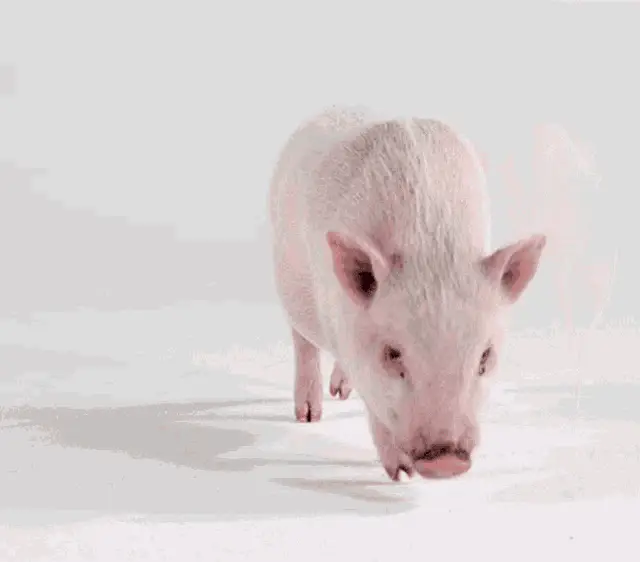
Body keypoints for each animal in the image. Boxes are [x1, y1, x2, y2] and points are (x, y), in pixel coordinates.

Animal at [268, 106, 546, 481]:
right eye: (393, 353)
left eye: (485, 357)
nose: (446, 461)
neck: (432, 246)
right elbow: (375, 408)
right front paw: (400, 476)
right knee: (303, 340)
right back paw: (309, 415)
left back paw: (340, 392)